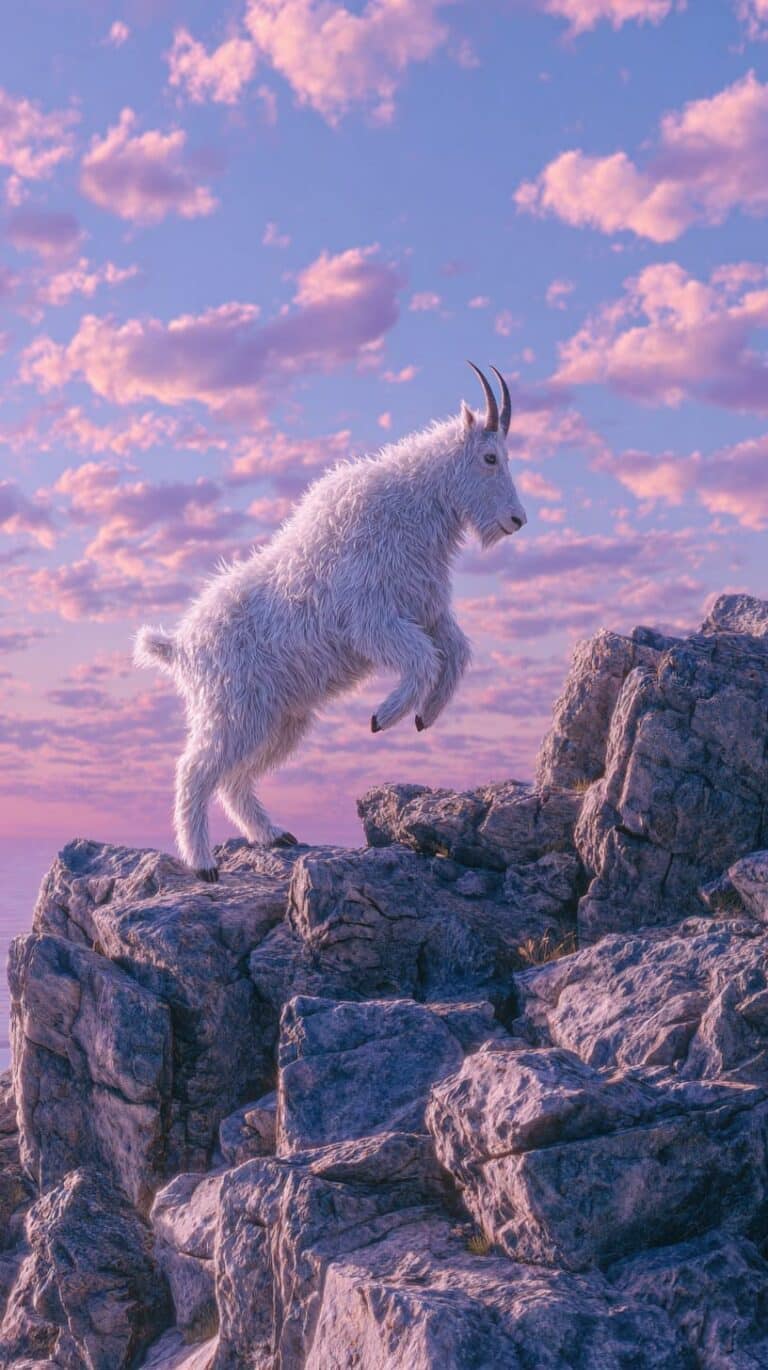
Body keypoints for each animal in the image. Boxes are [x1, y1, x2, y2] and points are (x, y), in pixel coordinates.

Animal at [134, 363, 528, 880]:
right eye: (489, 457)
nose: (517, 520)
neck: (412, 508)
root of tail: (179, 646)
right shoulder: (372, 620)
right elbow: (424, 657)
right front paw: (386, 716)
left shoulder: (425, 609)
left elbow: (456, 652)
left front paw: (425, 716)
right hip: (231, 711)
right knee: (194, 772)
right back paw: (202, 863)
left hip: (278, 719)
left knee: (234, 780)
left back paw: (272, 835)